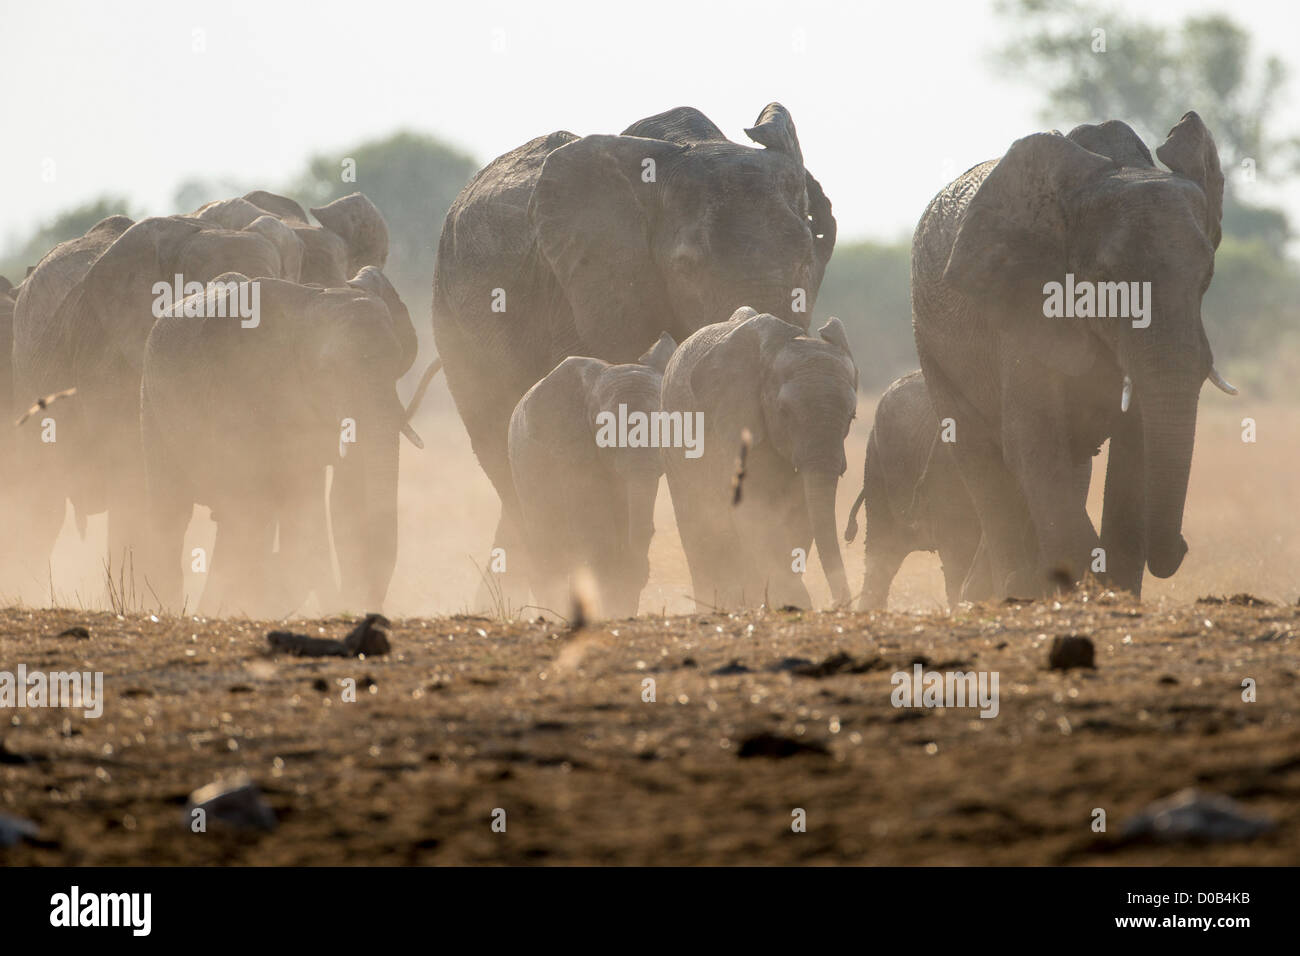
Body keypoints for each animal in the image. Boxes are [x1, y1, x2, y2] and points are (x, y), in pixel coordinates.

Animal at [665, 312, 857, 613]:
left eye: (852, 416)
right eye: (784, 412)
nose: (838, 604)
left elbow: (800, 514)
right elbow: (754, 511)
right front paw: (794, 602)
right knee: (701, 527)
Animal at [909, 113, 1232, 598]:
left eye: (1207, 274)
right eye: (1104, 279)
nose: (1182, 547)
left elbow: (1135, 447)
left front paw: (1115, 592)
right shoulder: (1023, 309)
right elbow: (1033, 443)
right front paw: (1087, 583)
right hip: (931, 345)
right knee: (982, 458)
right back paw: (1009, 590)